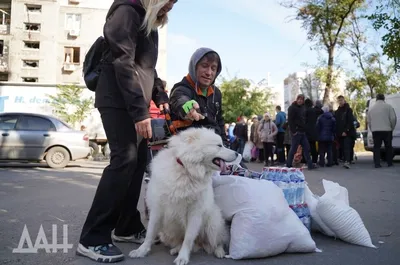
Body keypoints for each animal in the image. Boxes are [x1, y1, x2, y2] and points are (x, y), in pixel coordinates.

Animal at [130, 127, 239, 262]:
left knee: (217, 241)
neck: (186, 169)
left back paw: (219, 251)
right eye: (219, 145)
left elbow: (188, 239)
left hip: (212, 224)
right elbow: (150, 233)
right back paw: (175, 249)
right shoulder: (157, 209)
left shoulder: (195, 213)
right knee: (187, 243)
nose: (237, 154)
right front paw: (141, 251)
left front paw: (182, 258)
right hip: (166, 234)